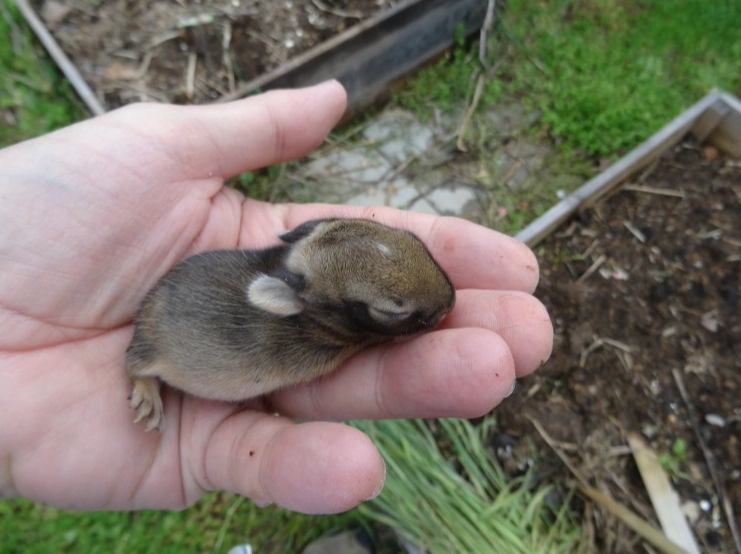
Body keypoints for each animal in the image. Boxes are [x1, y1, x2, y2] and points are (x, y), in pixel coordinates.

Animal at [125, 218, 455, 431]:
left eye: (414, 238)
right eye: (390, 311)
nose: (450, 302)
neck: (314, 317)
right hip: (150, 350)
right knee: (132, 366)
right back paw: (147, 398)